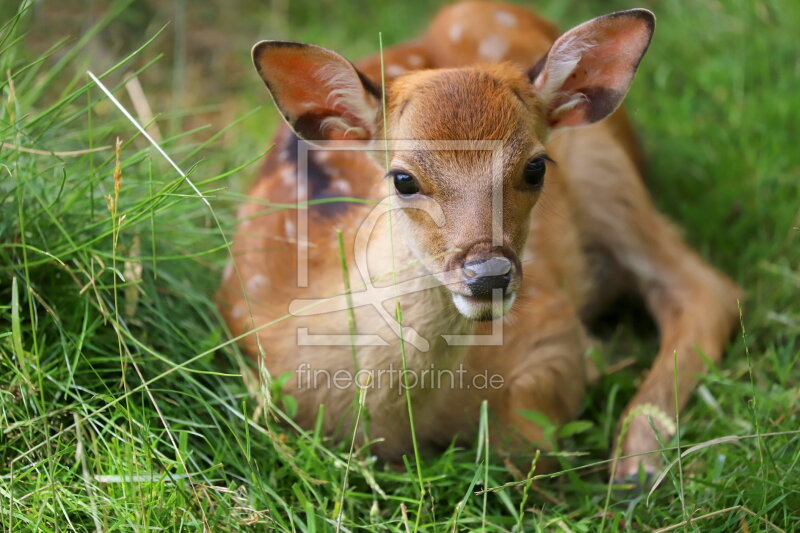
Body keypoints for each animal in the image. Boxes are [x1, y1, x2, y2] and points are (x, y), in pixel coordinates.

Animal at [216, 0, 740, 480]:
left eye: (535, 167)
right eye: (403, 178)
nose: (489, 274)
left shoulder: (550, 325)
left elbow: (528, 442)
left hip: (606, 170)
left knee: (706, 287)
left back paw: (636, 460)